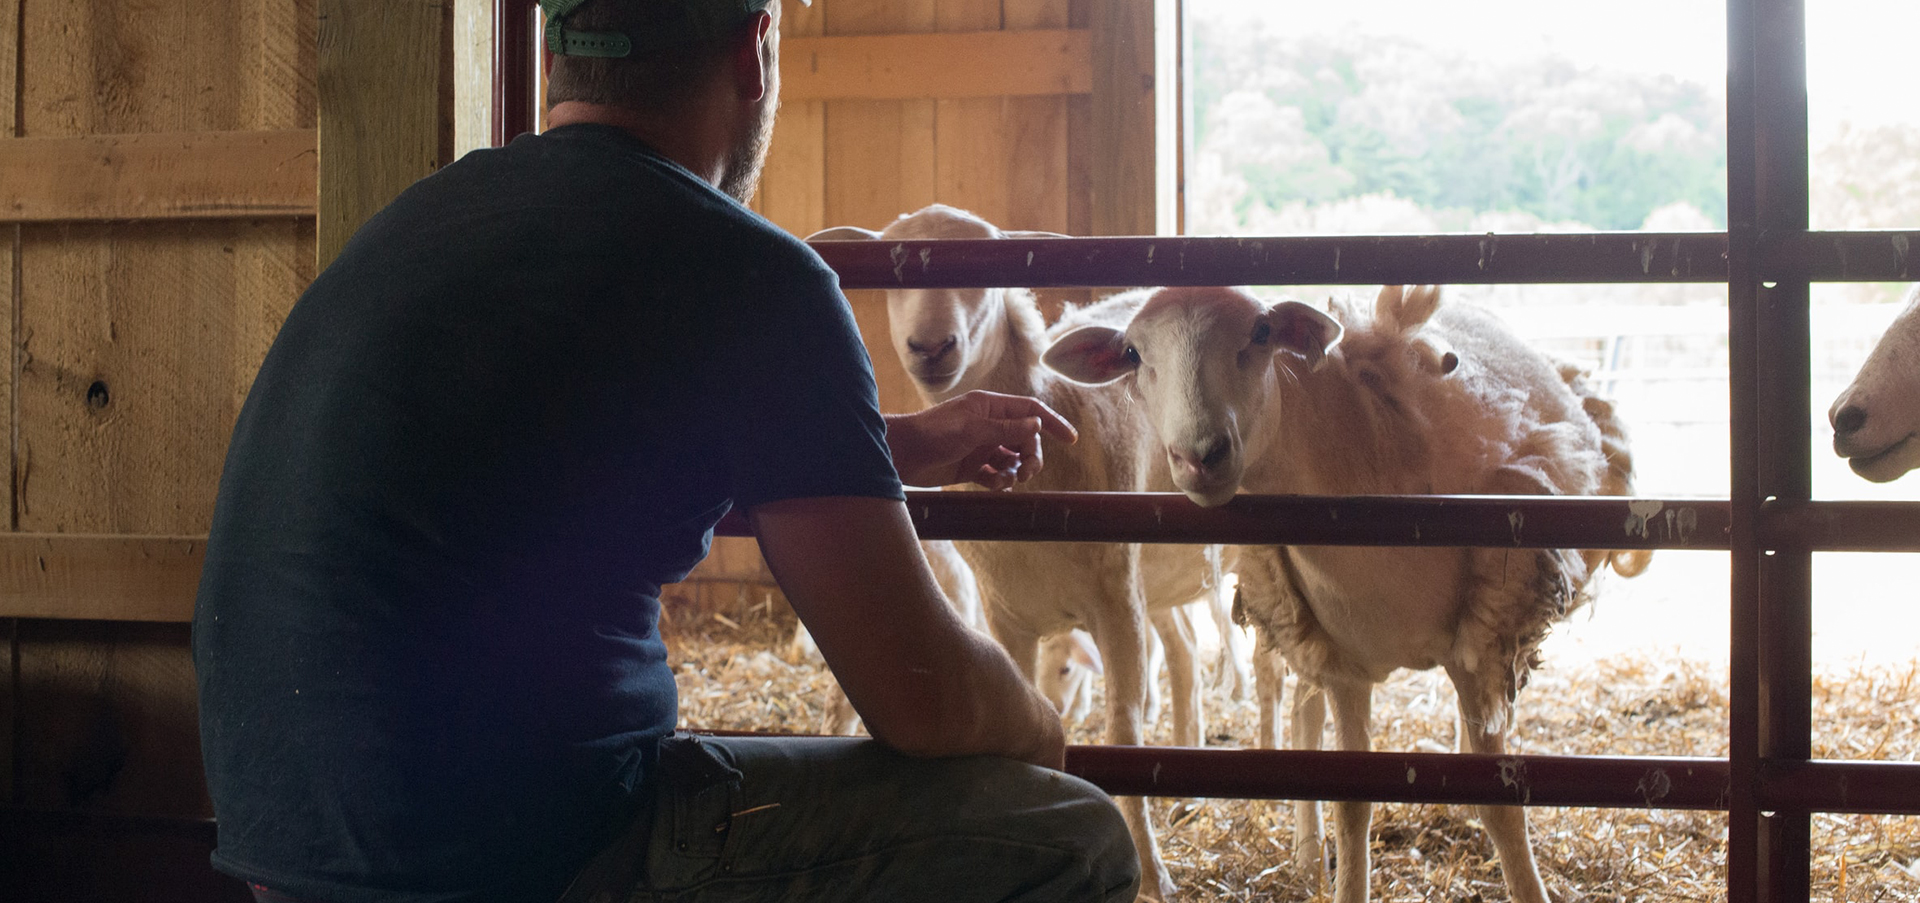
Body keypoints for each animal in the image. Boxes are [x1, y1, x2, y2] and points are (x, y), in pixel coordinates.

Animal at [810, 206, 1244, 903]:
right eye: (895, 275)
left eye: (986, 275)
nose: (931, 348)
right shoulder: (1005, 616)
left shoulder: (1116, 603)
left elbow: (1125, 729)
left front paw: (1152, 873)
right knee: (1181, 651)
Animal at [1052, 284, 1651, 903]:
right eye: (1133, 353)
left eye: (1261, 334)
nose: (1199, 455)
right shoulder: (1341, 662)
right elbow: (1352, 799)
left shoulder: (1474, 649)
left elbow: (1501, 804)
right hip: (1299, 620)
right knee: (1303, 714)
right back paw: (1307, 857)